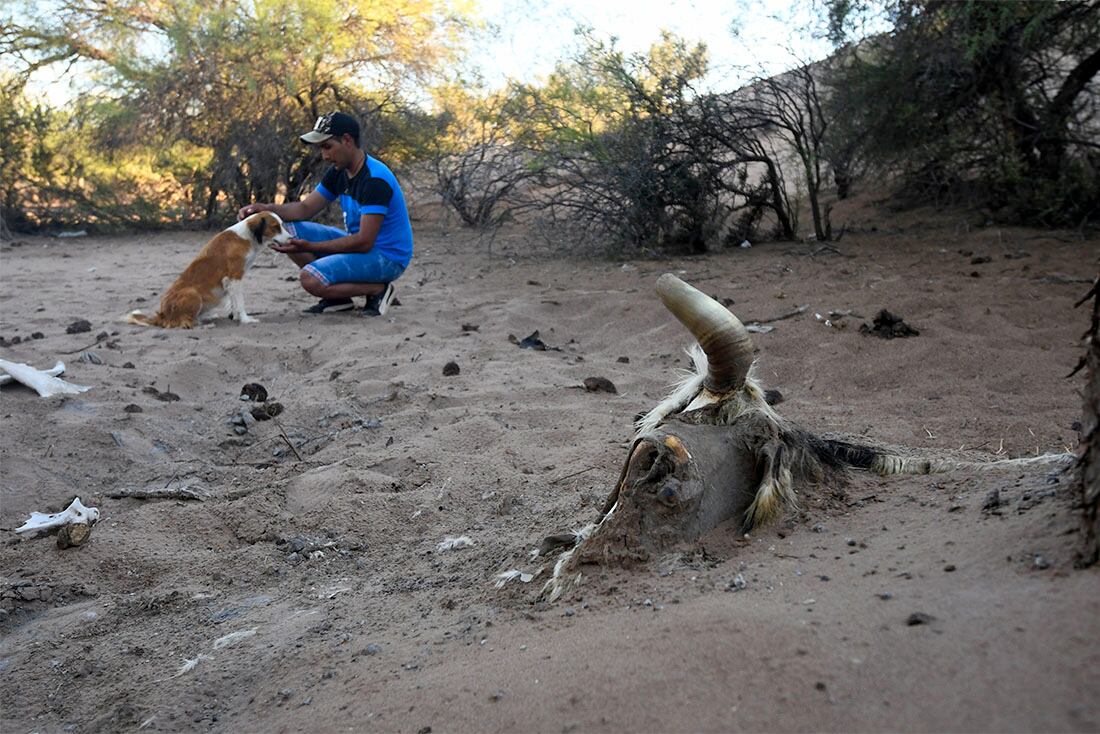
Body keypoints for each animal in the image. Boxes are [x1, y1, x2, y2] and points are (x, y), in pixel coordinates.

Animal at [124, 211, 292, 327]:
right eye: (275, 227)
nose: (291, 239)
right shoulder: (235, 277)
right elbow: (240, 302)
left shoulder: (231, 282)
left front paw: (237, 318)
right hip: (193, 294)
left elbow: (234, 302)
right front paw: (245, 319)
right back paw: (205, 324)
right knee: (186, 323)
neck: (246, 237)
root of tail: (162, 315)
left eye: (282, 225)